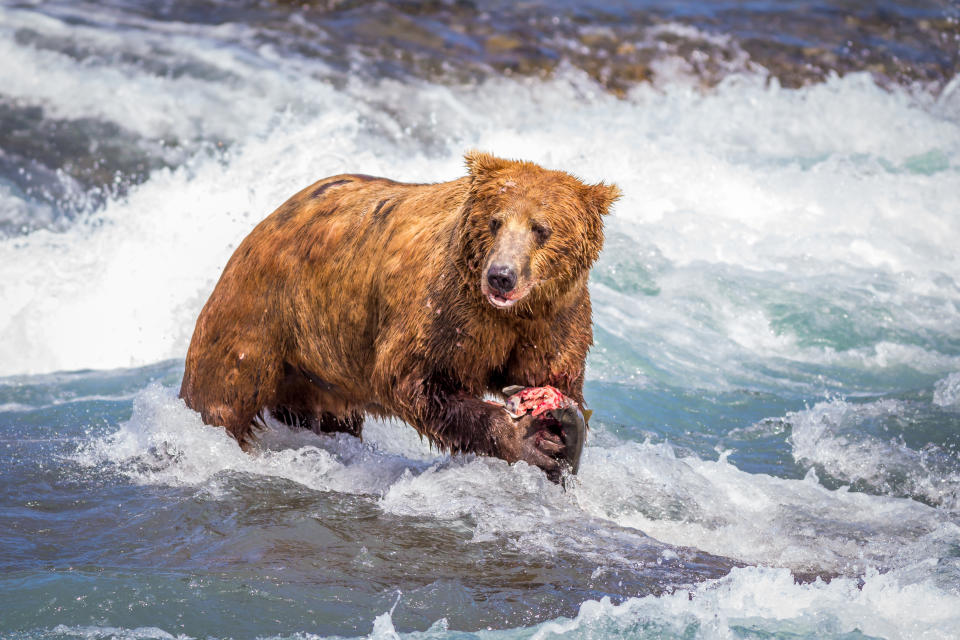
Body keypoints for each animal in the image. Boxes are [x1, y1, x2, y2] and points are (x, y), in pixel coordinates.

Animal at [178, 150, 624, 480]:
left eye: (541, 228)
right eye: (496, 221)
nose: (501, 276)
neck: (510, 313)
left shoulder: (554, 320)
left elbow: (553, 378)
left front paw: (560, 430)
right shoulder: (445, 310)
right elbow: (414, 378)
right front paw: (524, 438)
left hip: (316, 372)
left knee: (324, 418)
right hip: (261, 317)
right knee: (223, 393)